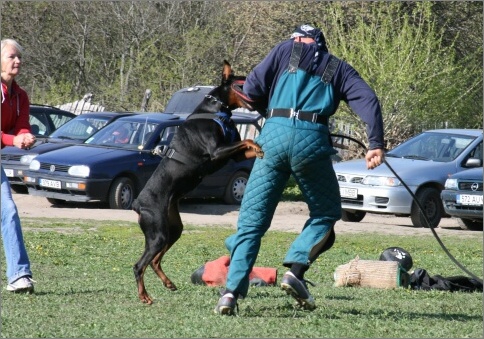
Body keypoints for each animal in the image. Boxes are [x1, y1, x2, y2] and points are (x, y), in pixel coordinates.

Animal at [130, 61, 262, 306]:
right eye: (242, 81)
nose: (258, 93)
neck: (215, 110)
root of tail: (137, 204)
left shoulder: (234, 155)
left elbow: (248, 144)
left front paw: (261, 149)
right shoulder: (217, 151)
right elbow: (248, 140)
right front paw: (258, 146)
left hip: (173, 228)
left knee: (155, 260)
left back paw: (168, 283)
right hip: (157, 232)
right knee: (139, 265)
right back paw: (144, 296)